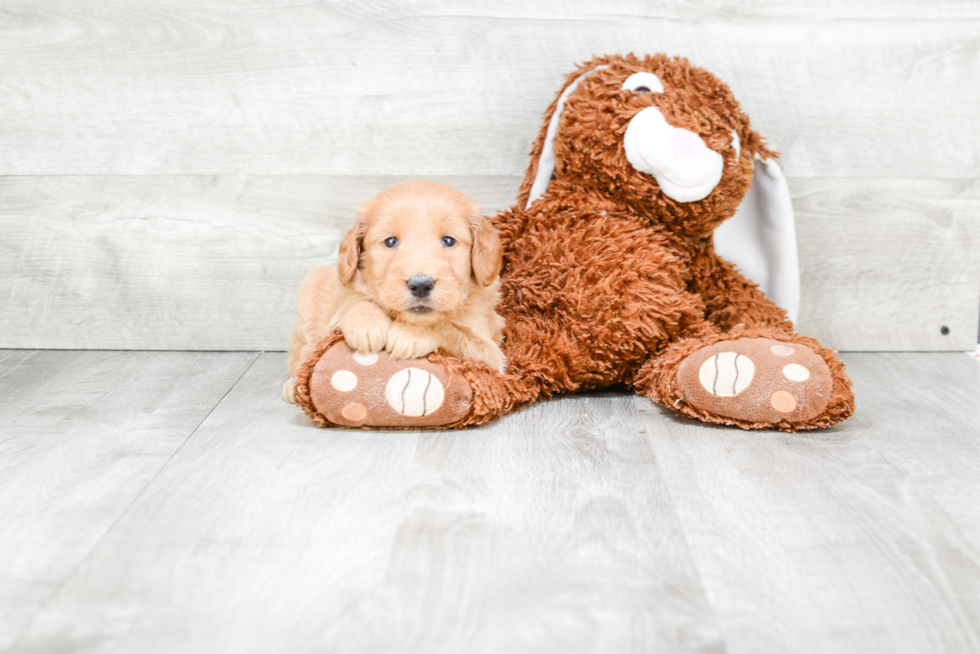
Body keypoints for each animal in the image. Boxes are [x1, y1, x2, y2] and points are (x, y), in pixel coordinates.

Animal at [280, 181, 502, 404]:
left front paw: (410, 335)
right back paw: (295, 385)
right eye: (391, 241)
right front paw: (365, 324)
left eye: (448, 241)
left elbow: (449, 328)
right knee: (306, 350)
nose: (420, 285)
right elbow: (357, 302)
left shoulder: (490, 354)